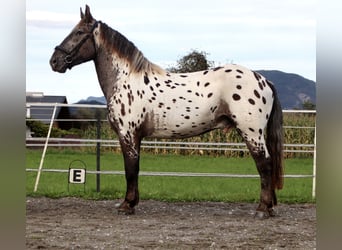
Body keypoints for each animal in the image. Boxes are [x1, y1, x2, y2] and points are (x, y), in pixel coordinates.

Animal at [48, 4, 284, 218]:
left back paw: (262, 209)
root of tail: (264, 80)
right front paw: (132, 202)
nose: (54, 61)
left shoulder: (127, 135)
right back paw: (269, 207)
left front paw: (126, 205)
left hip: (252, 133)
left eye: (79, 32)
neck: (126, 79)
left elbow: (130, 169)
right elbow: (134, 169)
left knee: (264, 164)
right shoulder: (135, 137)